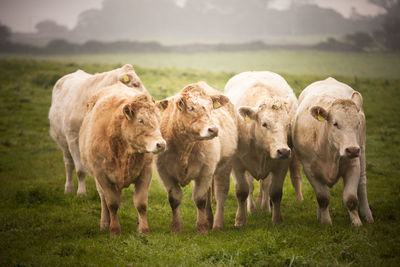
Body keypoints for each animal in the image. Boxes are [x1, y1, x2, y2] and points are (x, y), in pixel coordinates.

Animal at [48, 63, 145, 196]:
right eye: (135, 84)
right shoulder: (72, 139)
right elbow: (80, 170)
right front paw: (81, 193)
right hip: (63, 142)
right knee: (69, 164)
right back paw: (68, 188)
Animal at [79, 84, 166, 237]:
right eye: (140, 120)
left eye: (159, 119)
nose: (161, 144)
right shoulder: (101, 175)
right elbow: (112, 203)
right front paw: (114, 230)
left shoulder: (146, 172)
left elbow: (141, 203)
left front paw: (143, 229)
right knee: (103, 199)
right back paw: (105, 223)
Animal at [225, 70, 304, 224]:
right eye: (264, 124)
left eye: (288, 124)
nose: (283, 151)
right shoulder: (237, 165)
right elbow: (242, 191)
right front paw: (240, 219)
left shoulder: (281, 165)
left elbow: (275, 192)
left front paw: (277, 219)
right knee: (251, 186)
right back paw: (252, 207)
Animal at [292, 77, 374, 226]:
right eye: (335, 123)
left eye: (357, 123)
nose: (352, 150)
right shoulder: (309, 169)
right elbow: (322, 197)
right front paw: (325, 222)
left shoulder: (353, 165)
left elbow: (351, 198)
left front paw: (356, 223)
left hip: (362, 151)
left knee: (362, 184)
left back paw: (367, 215)